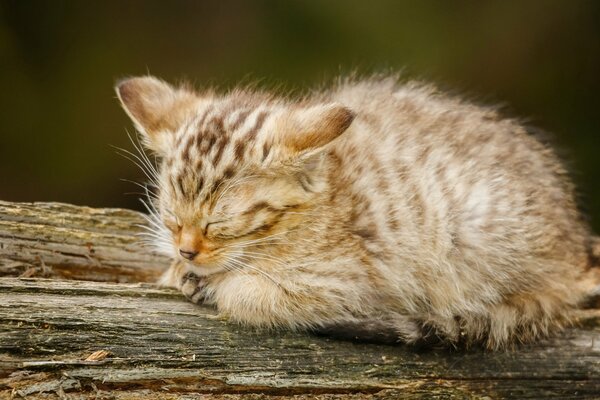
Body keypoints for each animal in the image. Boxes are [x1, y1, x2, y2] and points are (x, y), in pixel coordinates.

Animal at [115, 76, 596, 350]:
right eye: (172, 218)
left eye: (219, 224)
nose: (187, 251)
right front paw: (177, 272)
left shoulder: (352, 280)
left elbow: (253, 293)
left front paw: (215, 285)